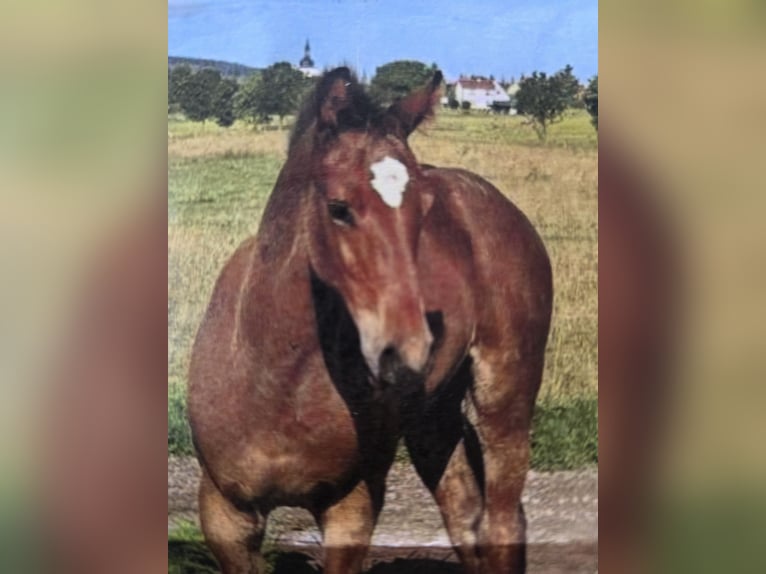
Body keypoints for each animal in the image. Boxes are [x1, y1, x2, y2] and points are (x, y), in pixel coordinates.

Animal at [187, 67, 553, 574]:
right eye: (339, 208)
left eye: (425, 210)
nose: (410, 350)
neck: (274, 381)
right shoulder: (224, 512)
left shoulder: (351, 507)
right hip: (432, 416)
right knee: (463, 512)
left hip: (507, 394)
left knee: (501, 522)